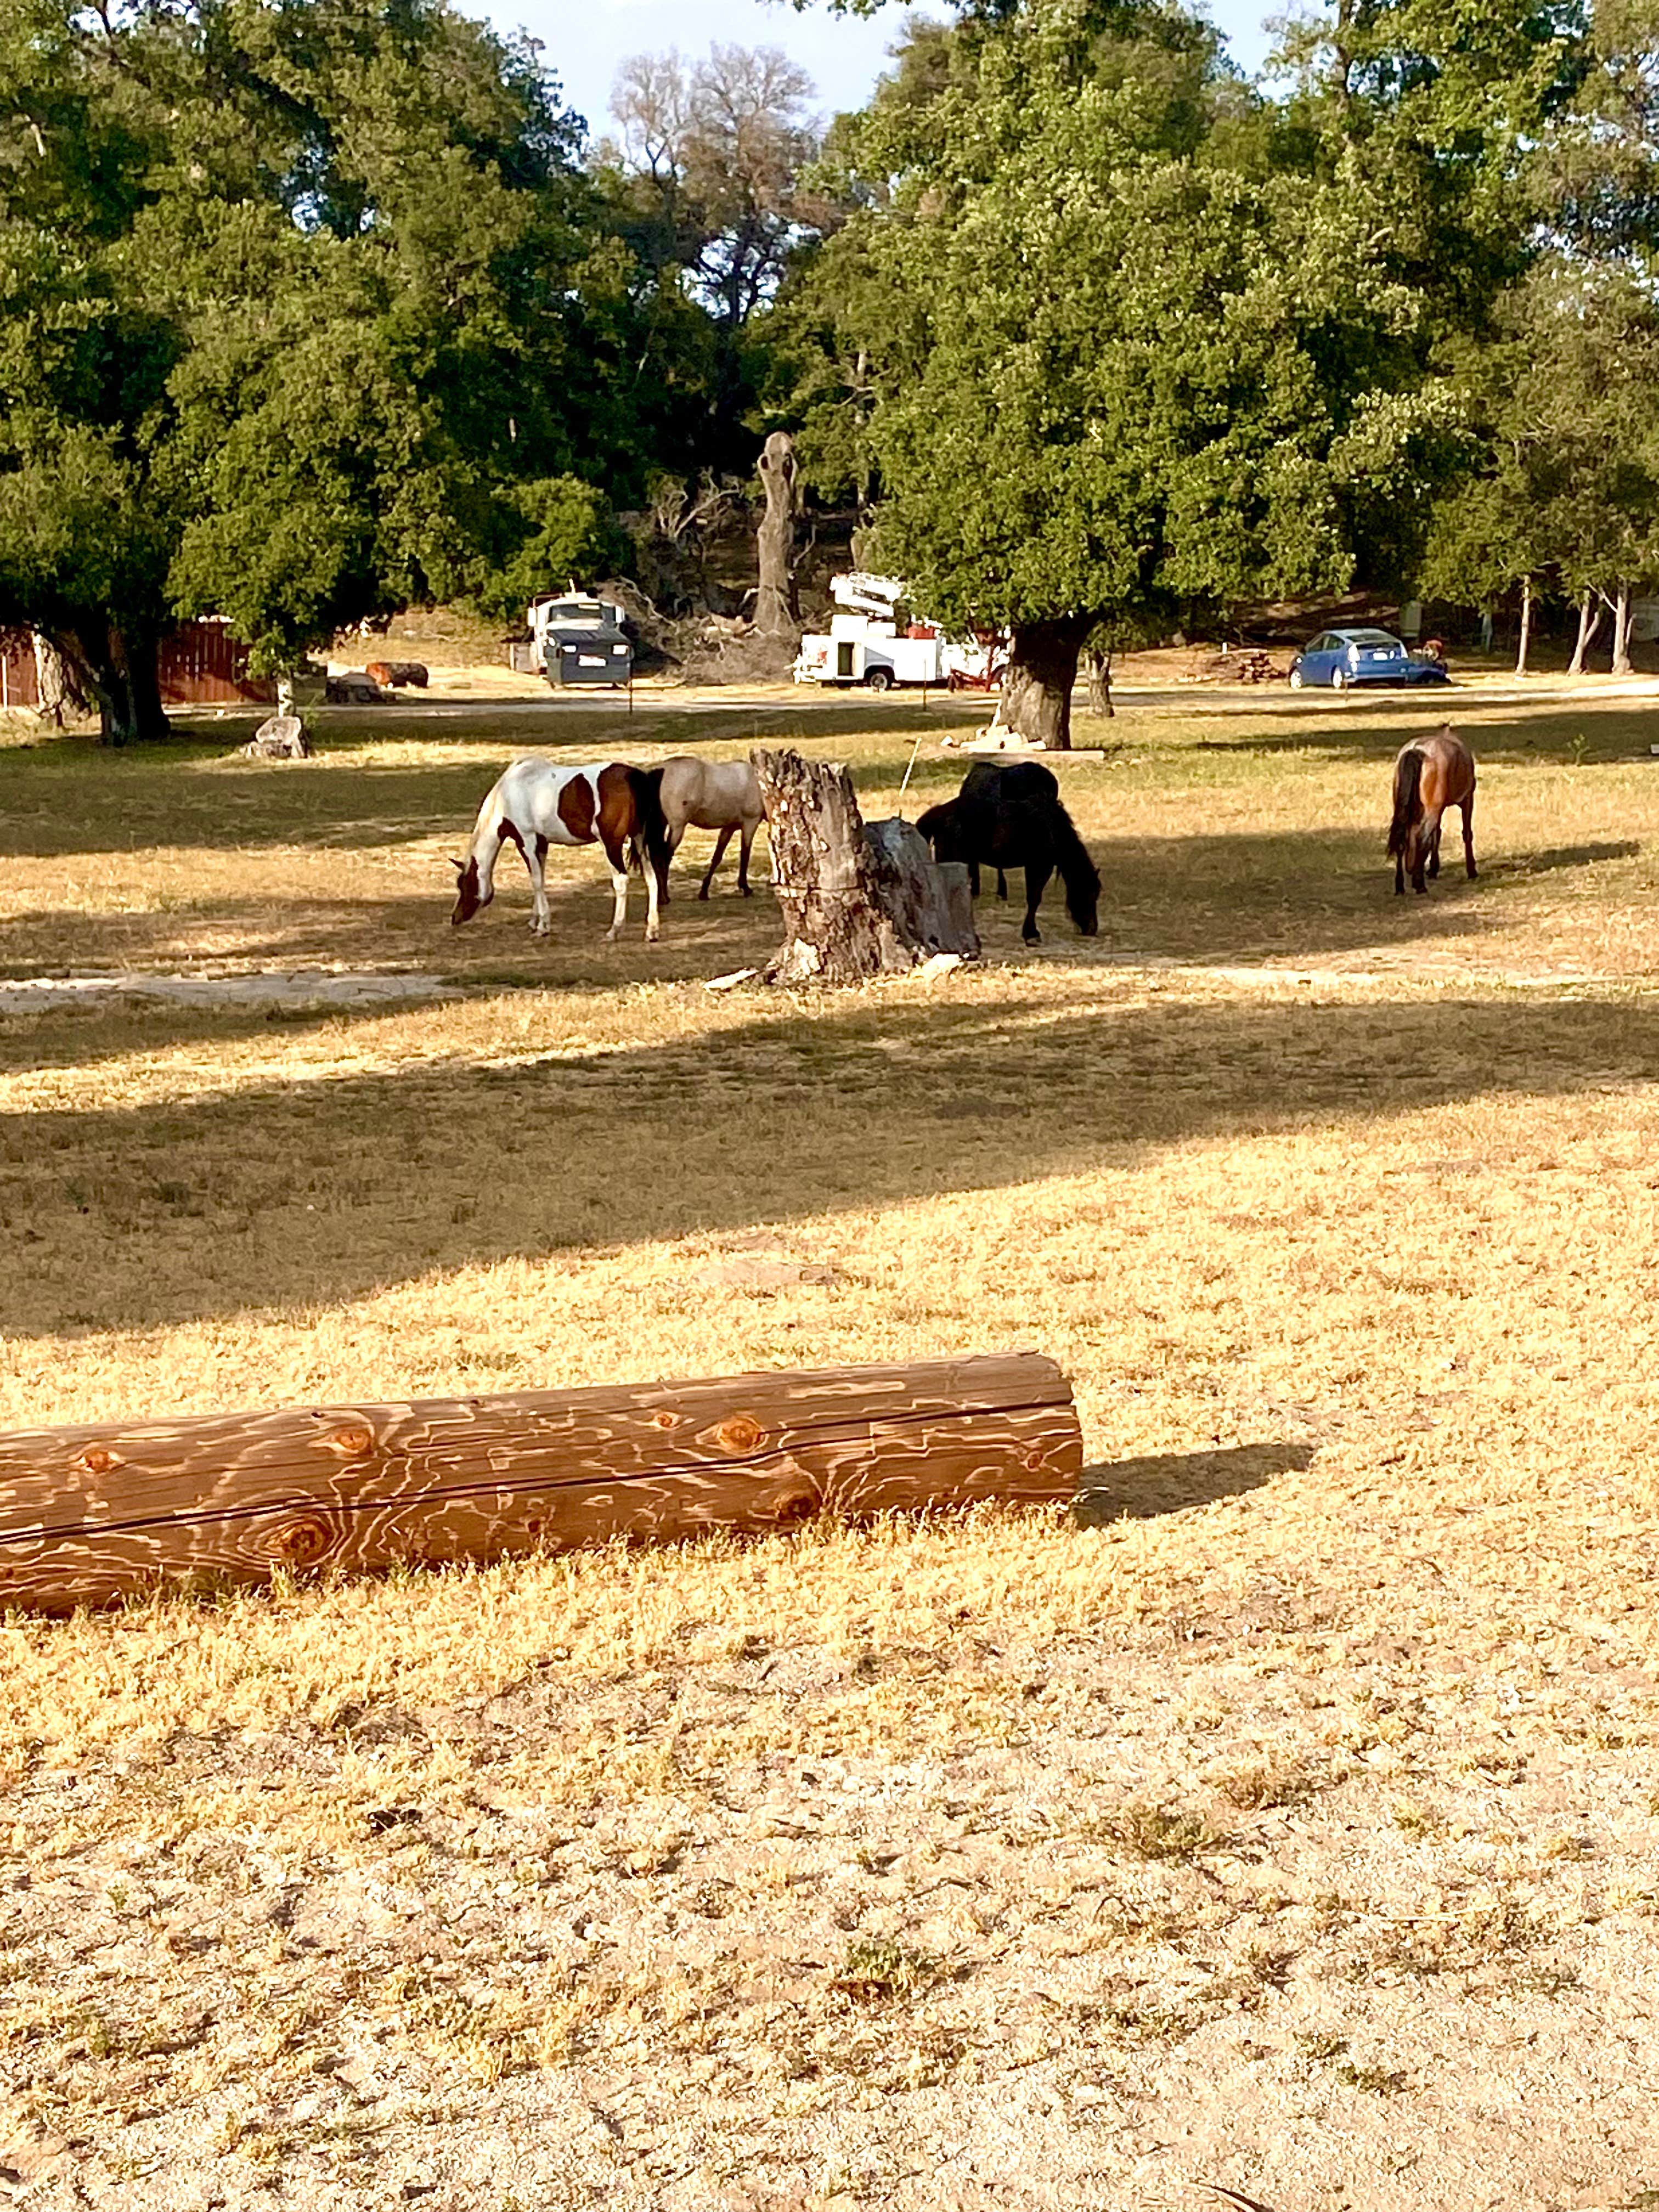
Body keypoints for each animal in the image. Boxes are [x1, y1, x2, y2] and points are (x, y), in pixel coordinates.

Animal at [451, 756, 672, 938]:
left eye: (464, 885)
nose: (455, 918)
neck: (508, 795)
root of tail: (633, 776)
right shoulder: (542, 844)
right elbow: (540, 878)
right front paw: (535, 921)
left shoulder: (527, 840)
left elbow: (536, 880)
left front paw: (543, 927)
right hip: (640, 840)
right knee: (652, 879)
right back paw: (652, 931)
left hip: (612, 845)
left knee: (621, 881)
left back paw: (615, 930)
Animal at [659, 761, 770, 898]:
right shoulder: (750, 823)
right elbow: (745, 854)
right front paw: (745, 887)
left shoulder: (729, 827)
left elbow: (717, 856)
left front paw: (704, 891)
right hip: (678, 828)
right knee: (665, 856)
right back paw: (664, 896)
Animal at [911, 761, 1106, 942]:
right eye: (1089, 892)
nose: (1092, 928)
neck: (1051, 828)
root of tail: (940, 813)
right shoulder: (1040, 866)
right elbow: (1034, 898)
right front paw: (1031, 934)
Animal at [1389, 725, 1477, 898]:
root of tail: (1417, 750)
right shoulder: (1467, 799)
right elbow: (1466, 834)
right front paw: (1472, 870)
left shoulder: (1439, 808)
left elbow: (1437, 834)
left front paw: (1433, 869)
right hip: (1433, 810)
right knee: (1422, 838)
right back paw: (1419, 884)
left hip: (1405, 809)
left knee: (1402, 840)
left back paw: (1400, 885)